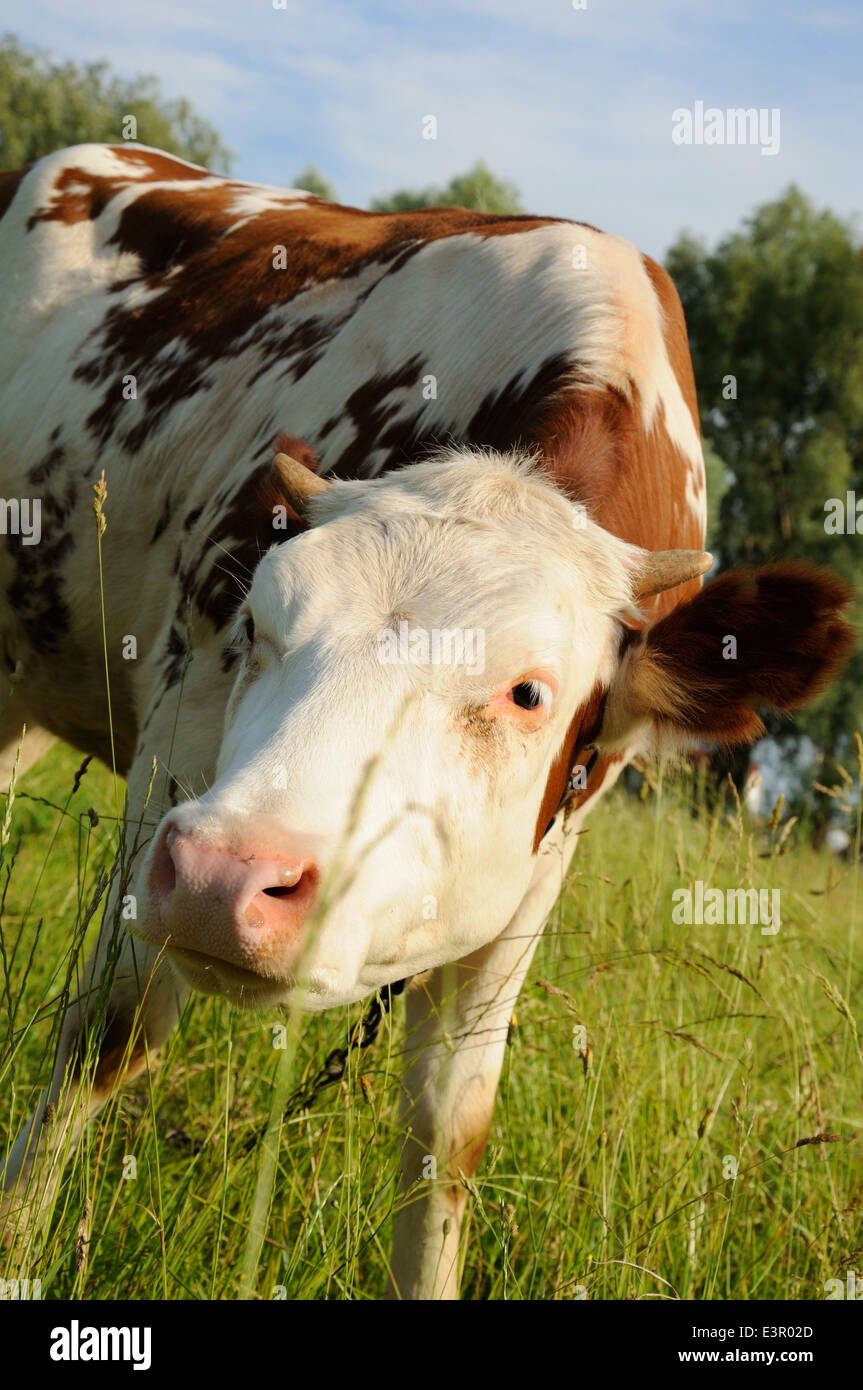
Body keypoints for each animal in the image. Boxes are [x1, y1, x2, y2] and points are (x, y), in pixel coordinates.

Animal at [0, 143, 853, 1299]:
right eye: (258, 619)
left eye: (529, 693)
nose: (226, 878)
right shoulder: (178, 744)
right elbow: (108, 1033)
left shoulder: (535, 867)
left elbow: (448, 1130)